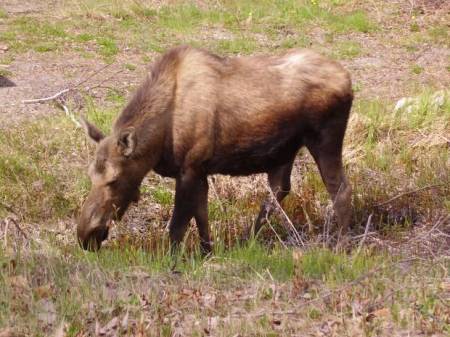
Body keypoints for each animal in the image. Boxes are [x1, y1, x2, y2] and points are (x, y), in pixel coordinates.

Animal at [77, 44, 354, 252]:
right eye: (90, 175)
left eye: (114, 180)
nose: (85, 234)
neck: (159, 140)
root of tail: (349, 81)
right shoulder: (199, 170)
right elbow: (201, 217)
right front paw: (206, 252)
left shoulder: (189, 168)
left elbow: (177, 227)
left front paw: (173, 261)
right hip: (286, 150)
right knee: (279, 189)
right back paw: (248, 240)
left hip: (324, 138)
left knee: (340, 189)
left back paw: (342, 246)